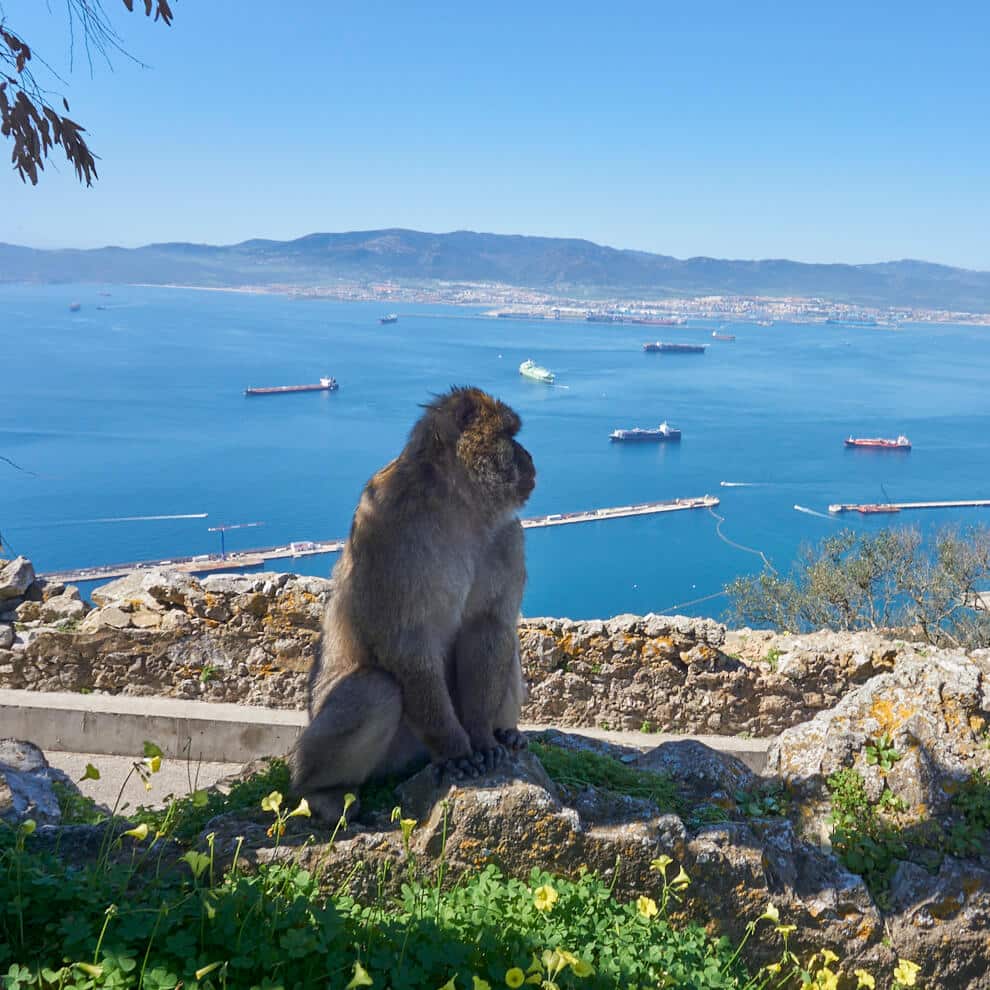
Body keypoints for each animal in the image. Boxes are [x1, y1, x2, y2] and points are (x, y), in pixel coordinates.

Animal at [291, 386, 536, 822]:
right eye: (510, 435)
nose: (529, 456)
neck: (457, 505)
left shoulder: (508, 536)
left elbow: (488, 628)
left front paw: (481, 736)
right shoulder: (387, 524)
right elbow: (406, 643)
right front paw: (457, 750)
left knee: (508, 646)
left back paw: (505, 733)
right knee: (375, 690)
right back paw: (321, 793)